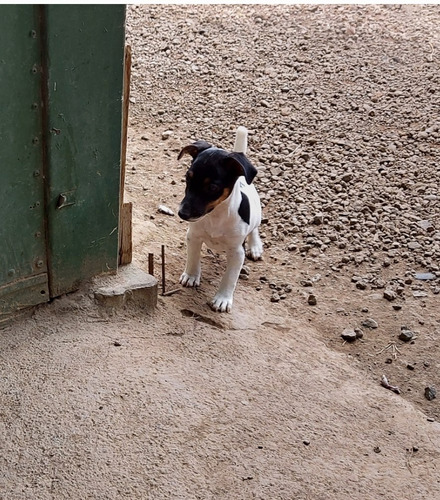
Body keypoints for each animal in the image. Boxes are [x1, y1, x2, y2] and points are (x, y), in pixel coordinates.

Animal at [177, 126, 262, 312]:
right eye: (187, 177)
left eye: (212, 187)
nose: (182, 213)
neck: (216, 216)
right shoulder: (193, 236)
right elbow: (193, 257)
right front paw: (191, 275)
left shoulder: (237, 252)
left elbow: (230, 277)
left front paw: (222, 299)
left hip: (257, 214)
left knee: (254, 229)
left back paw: (255, 247)